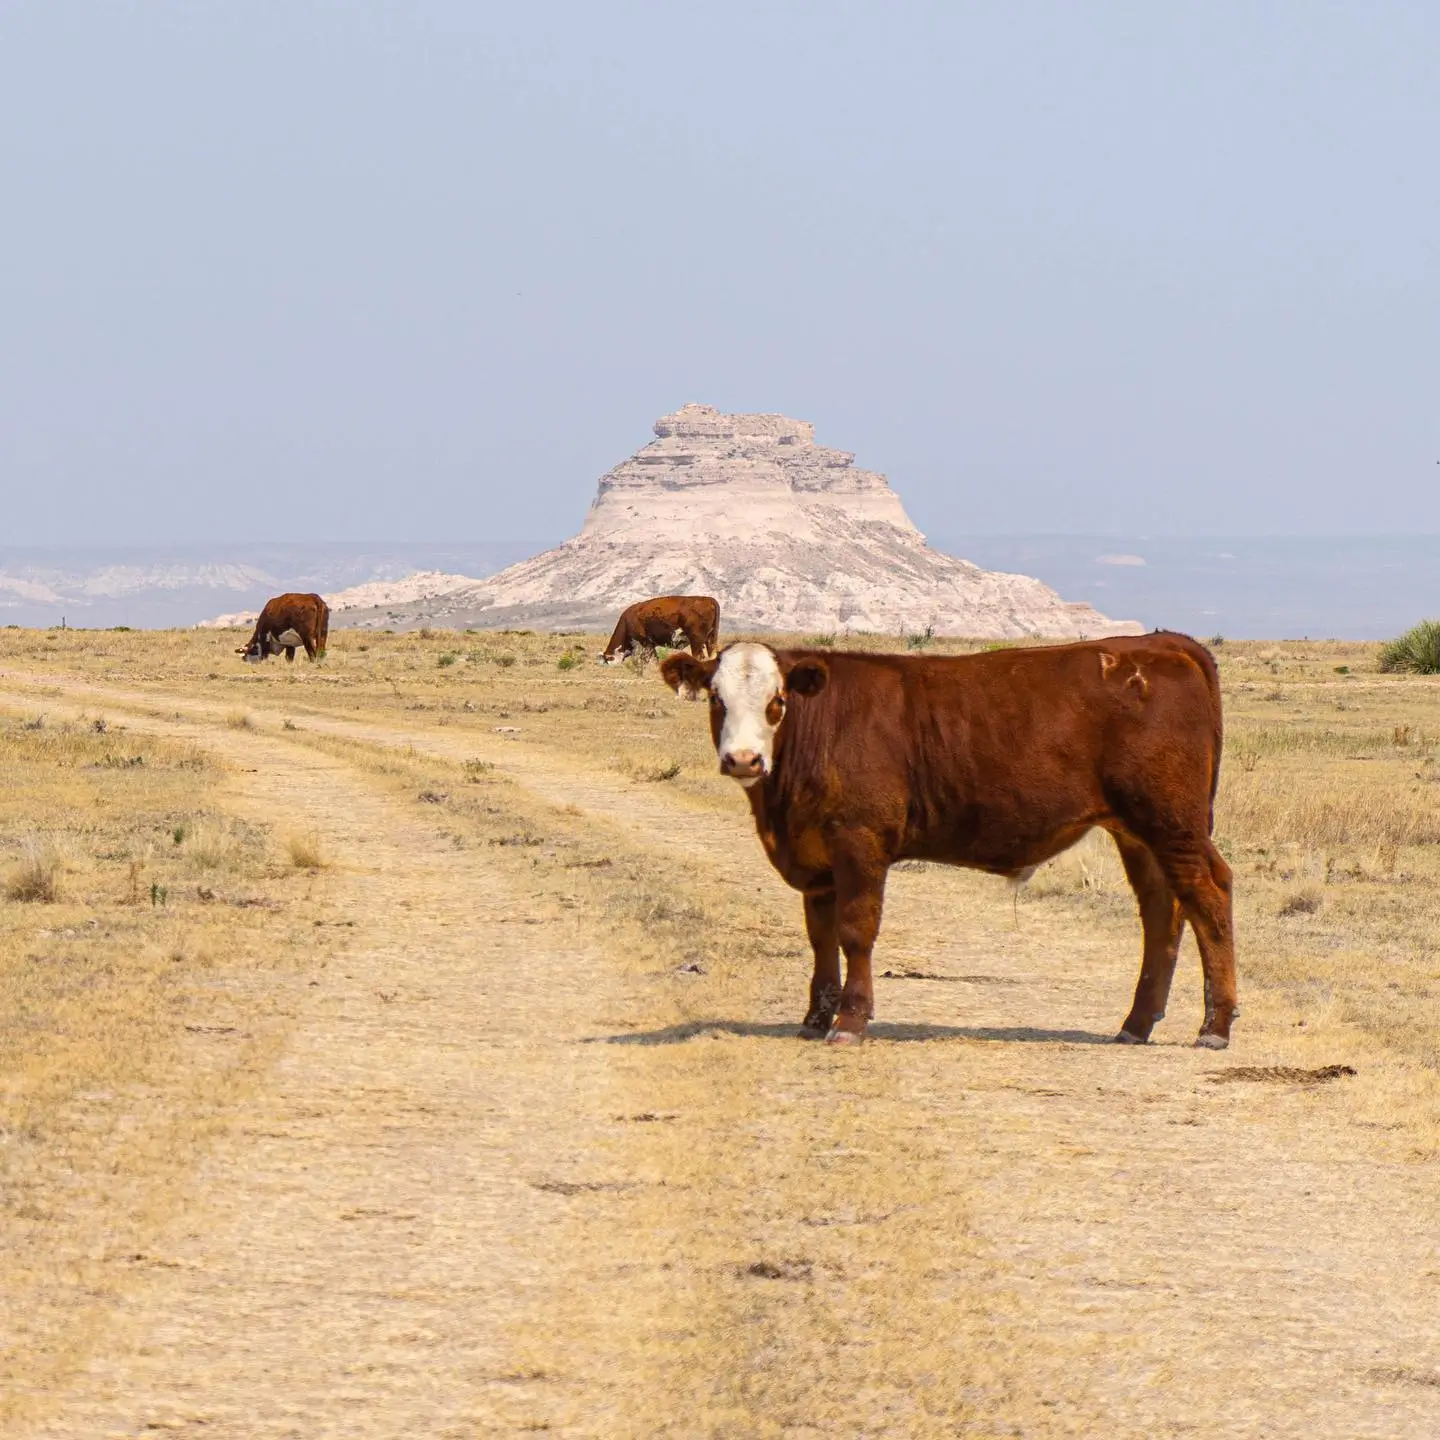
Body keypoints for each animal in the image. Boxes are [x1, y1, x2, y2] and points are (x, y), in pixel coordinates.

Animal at [660, 634, 1236, 1050]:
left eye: (776, 701)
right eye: (716, 699)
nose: (743, 760)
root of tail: (1160, 643)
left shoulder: (859, 841)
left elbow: (855, 932)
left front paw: (849, 1021)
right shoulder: (815, 857)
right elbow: (821, 937)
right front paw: (815, 1017)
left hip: (1173, 823)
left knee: (1209, 896)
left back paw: (1215, 1027)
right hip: (1138, 832)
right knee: (1162, 910)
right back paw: (1136, 1023)